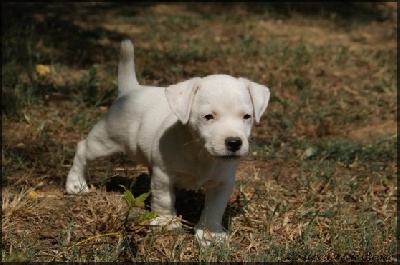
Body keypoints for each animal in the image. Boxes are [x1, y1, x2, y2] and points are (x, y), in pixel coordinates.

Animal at [65, 40, 270, 244]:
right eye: (208, 117)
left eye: (247, 116)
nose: (234, 142)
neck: (200, 153)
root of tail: (131, 91)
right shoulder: (164, 176)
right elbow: (163, 200)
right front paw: (166, 222)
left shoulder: (222, 182)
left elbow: (214, 208)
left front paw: (209, 233)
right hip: (105, 140)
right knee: (82, 149)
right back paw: (75, 184)